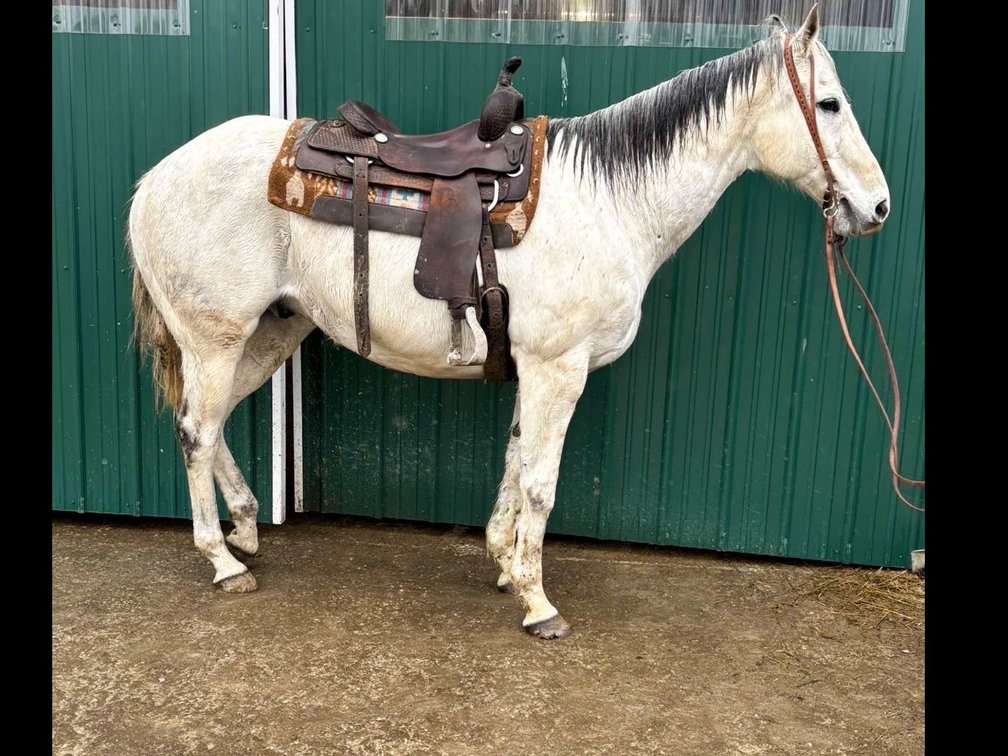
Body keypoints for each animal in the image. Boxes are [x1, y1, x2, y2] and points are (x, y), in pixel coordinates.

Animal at [128, 6, 890, 639]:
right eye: (829, 103)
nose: (877, 206)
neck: (610, 202)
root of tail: (152, 181)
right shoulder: (559, 367)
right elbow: (540, 484)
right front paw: (538, 602)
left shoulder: (534, 367)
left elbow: (514, 462)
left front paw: (503, 562)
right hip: (216, 338)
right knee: (196, 431)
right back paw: (223, 561)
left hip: (271, 331)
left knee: (212, 422)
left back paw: (246, 530)